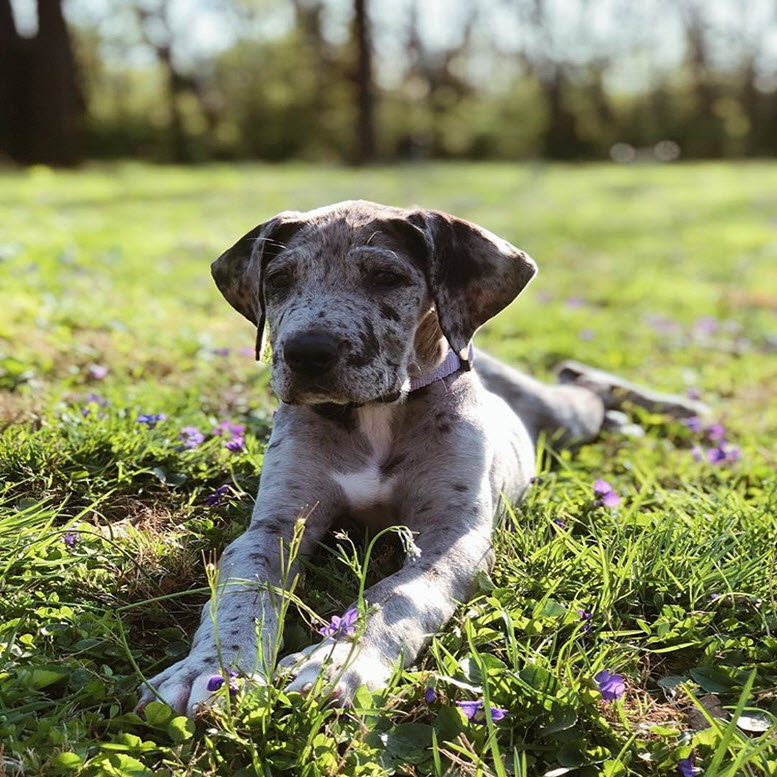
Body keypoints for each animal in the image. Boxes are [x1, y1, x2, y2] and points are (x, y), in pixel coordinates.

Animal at [135, 199, 704, 716]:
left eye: (387, 276)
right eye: (278, 279)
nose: (306, 353)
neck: (376, 415)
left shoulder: (452, 536)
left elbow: (396, 595)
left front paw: (338, 661)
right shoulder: (273, 527)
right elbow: (240, 593)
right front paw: (213, 669)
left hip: (564, 417)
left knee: (588, 385)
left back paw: (679, 408)